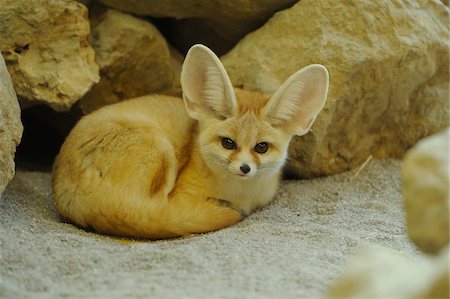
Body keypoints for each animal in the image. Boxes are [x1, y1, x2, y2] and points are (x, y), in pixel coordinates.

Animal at [52, 44, 328, 240]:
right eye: (228, 143)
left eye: (261, 147)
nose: (245, 168)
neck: (240, 194)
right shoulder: (180, 194)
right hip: (162, 153)